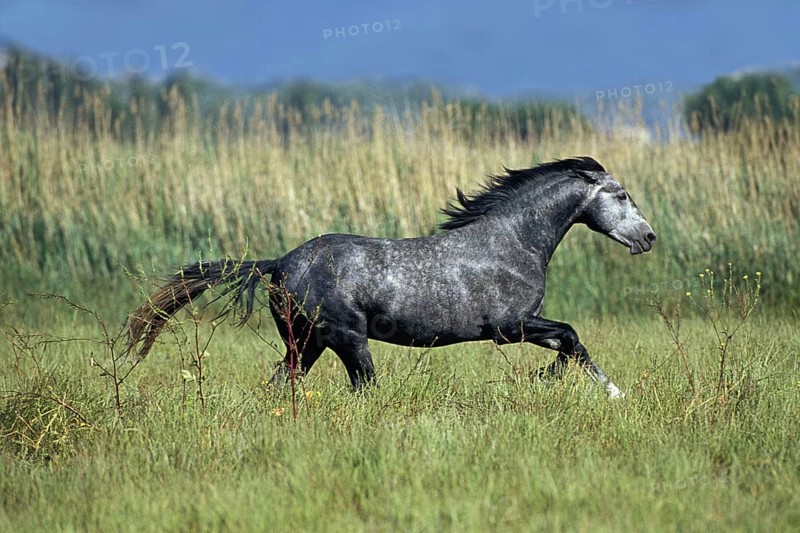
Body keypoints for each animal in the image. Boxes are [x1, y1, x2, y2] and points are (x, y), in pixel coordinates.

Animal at [128, 157, 656, 398]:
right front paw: (592, 388)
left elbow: (572, 342)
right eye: (622, 195)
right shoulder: (509, 327)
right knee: (363, 386)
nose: (648, 237)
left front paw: (596, 389)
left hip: (307, 341)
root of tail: (278, 264)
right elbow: (570, 335)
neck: (513, 242)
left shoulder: (525, 325)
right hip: (346, 338)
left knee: (283, 380)